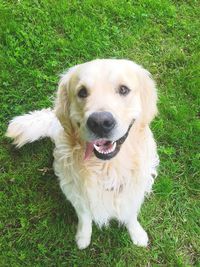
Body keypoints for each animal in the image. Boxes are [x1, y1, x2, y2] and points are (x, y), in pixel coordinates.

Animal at [6, 58, 159, 249]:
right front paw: (83, 237)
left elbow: (130, 214)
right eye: (82, 92)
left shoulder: (134, 191)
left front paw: (137, 233)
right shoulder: (76, 193)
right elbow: (85, 216)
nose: (100, 122)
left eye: (123, 89)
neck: (107, 168)